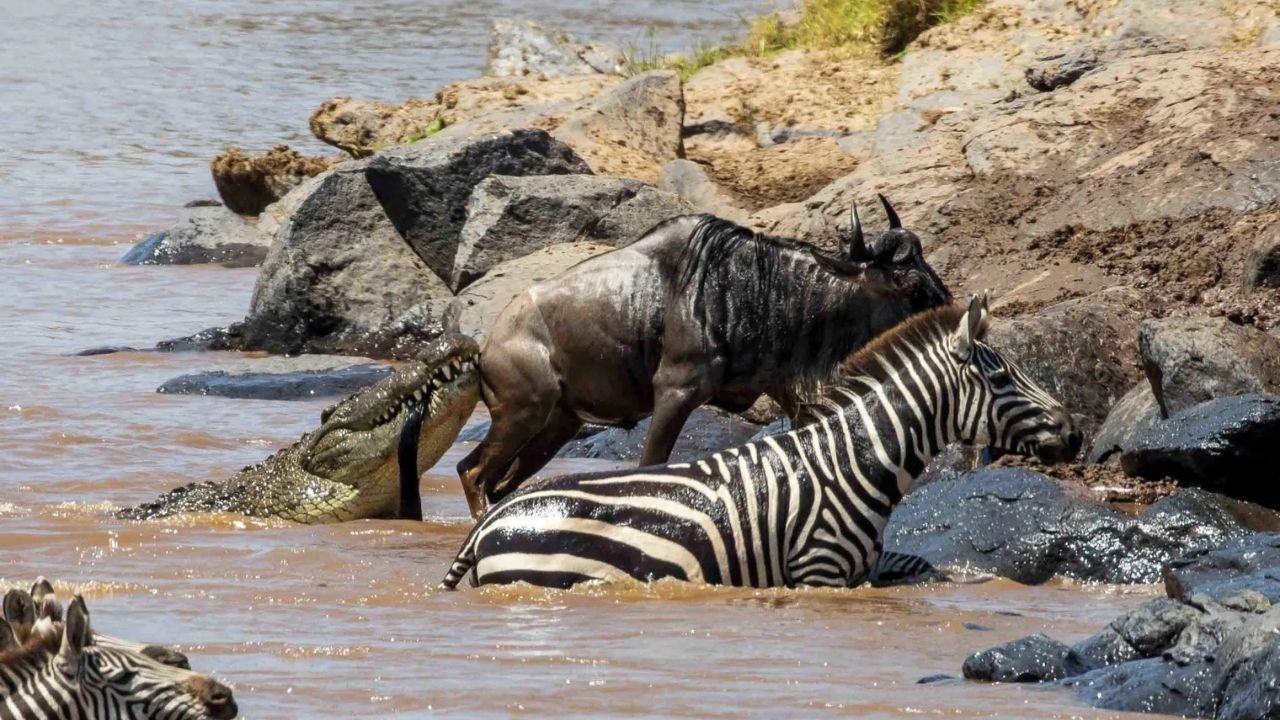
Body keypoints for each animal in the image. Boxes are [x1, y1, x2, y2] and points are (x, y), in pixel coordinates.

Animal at [441, 295, 1080, 590]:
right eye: (1001, 379)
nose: (1074, 433)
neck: (849, 466)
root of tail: (488, 524)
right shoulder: (817, 572)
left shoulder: (862, 572)